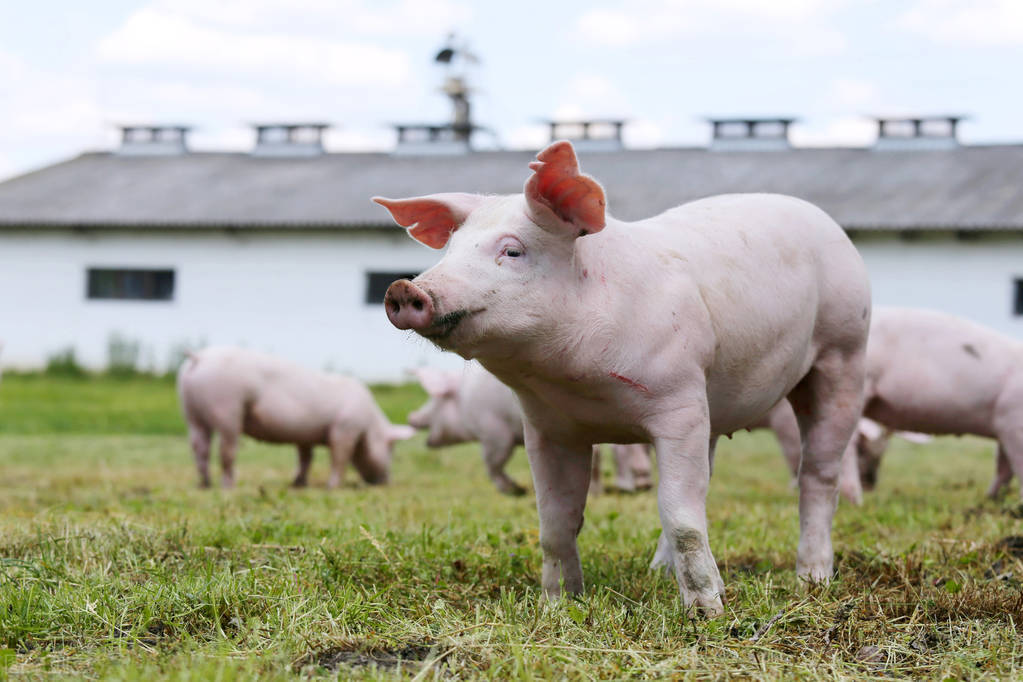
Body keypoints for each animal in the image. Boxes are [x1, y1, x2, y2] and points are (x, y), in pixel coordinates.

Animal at [178, 349, 413, 488]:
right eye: (392, 448)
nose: (386, 481)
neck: (370, 425)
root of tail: (198, 357)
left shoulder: (305, 437)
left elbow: (306, 459)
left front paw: (298, 484)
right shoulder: (345, 428)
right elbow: (339, 458)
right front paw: (332, 487)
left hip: (191, 412)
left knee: (199, 447)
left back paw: (205, 484)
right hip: (226, 406)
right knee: (226, 449)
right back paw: (229, 485)